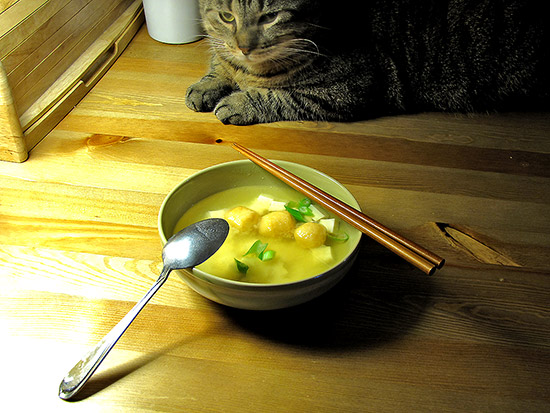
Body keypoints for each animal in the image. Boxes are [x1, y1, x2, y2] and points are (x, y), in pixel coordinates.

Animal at [187, 0, 550, 124]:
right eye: (227, 16)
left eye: (270, 17)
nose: (244, 46)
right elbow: (220, 63)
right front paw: (207, 86)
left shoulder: (351, 87)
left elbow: (280, 98)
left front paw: (237, 102)